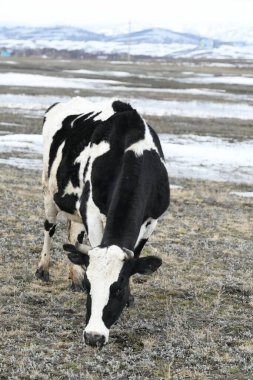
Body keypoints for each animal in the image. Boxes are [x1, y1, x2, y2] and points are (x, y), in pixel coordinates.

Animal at [36, 96, 170, 346]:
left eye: (118, 289)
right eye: (92, 285)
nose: (93, 336)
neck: (133, 150)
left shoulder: (152, 220)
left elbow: (136, 253)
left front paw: (130, 296)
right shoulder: (91, 209)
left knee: (74, 235)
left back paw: (75, 278)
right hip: (49, 188)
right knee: (50, 227)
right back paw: (43, 270)